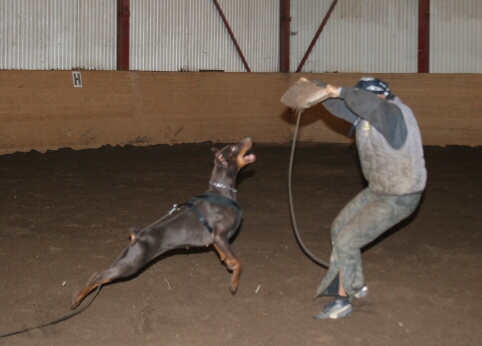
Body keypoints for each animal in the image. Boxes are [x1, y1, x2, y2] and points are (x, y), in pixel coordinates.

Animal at [70, 137, 256, 310]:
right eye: (234, 148)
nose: (248, 138)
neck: (222, 192)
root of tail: (137, 236)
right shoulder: (219, 235)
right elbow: (240, 263)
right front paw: (234, 283)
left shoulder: (216, 239)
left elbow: (228, 256)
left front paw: (228, 262)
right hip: (132, 264)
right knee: (99, 276)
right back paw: (76, 300)